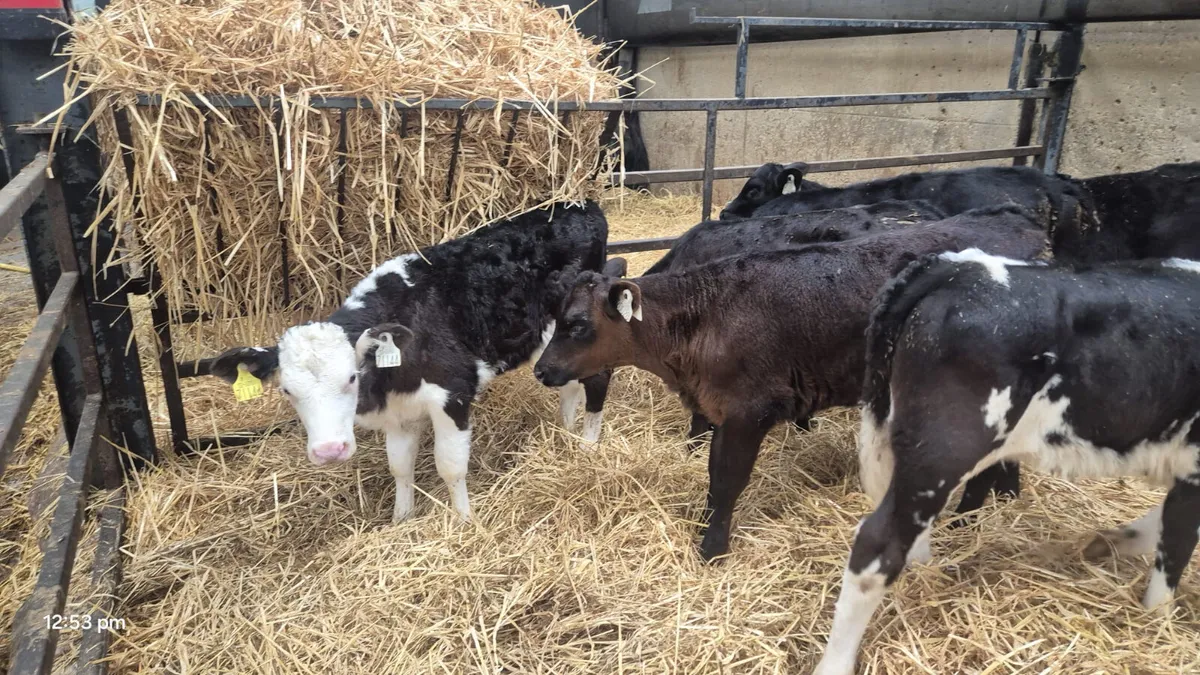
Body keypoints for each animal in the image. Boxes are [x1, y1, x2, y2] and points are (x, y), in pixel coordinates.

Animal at [209, 201, 617, 524]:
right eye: (287, 391)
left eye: (351, 378)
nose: (329, 452)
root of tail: (579, 203)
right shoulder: (399, 412)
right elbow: (400, 467)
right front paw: (400, 519)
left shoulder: (452, 394)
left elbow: (450, 467)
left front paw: (464, 521)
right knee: (568, 386)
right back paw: (566, 433)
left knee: (597, 378)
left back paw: (586, 446)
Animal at [532, 206, 1049, 561]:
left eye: (576, 324)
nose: (541, 370)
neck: (704, 318)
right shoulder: (718, 409)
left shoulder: (749, 410)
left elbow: (726, 480)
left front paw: (711, 549)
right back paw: (993, 504)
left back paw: (966, 520)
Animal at [814, 251, 1200, 675]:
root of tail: (955, 267)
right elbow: (1176, 547)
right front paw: (1158, 621)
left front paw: (1107, 544)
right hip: (945, 449)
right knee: (877, 545)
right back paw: (835, 664)